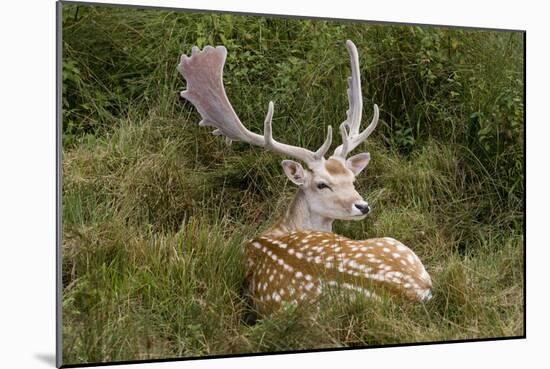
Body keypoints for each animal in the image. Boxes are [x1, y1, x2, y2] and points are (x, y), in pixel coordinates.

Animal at [179, 41, 434, 316]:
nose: (363, 206)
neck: (279, 229)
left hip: (394, 246)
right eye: (322, 184)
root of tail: (414, 292)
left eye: (352, 180)